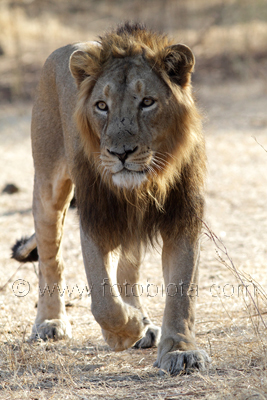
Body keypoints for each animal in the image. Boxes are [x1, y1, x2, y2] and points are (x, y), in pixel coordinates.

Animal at [12, 22, 211, 376]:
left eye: (147, 102)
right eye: (101, 106)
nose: (121, 153)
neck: (145, 185)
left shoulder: (183, 219)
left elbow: (182, 291)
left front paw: (180, 350)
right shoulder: (95, 218)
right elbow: (103, 300)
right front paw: (124, 331)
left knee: (127, 270)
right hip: (48, 187)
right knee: (51, 260)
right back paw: (50, 322)